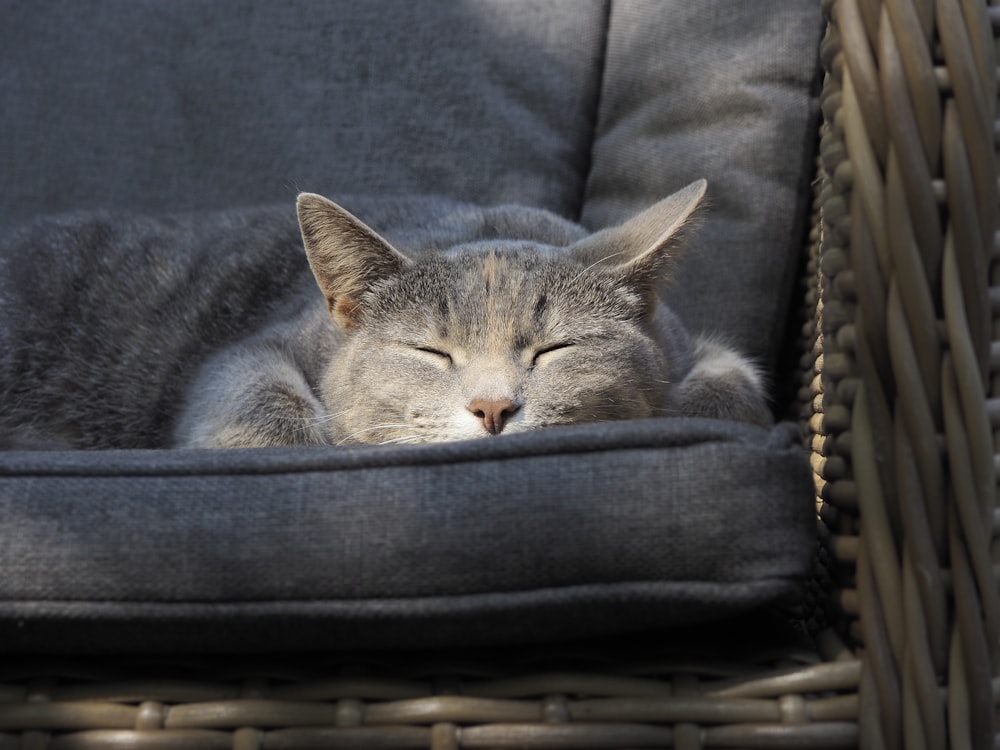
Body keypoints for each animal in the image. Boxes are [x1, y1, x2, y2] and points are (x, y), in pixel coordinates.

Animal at [0, 181, 772, 452]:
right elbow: (259, 404)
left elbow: (731, 387)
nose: (493, 407)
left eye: (555, 350)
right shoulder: (258, 348)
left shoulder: (703, 351)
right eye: (432, 352)